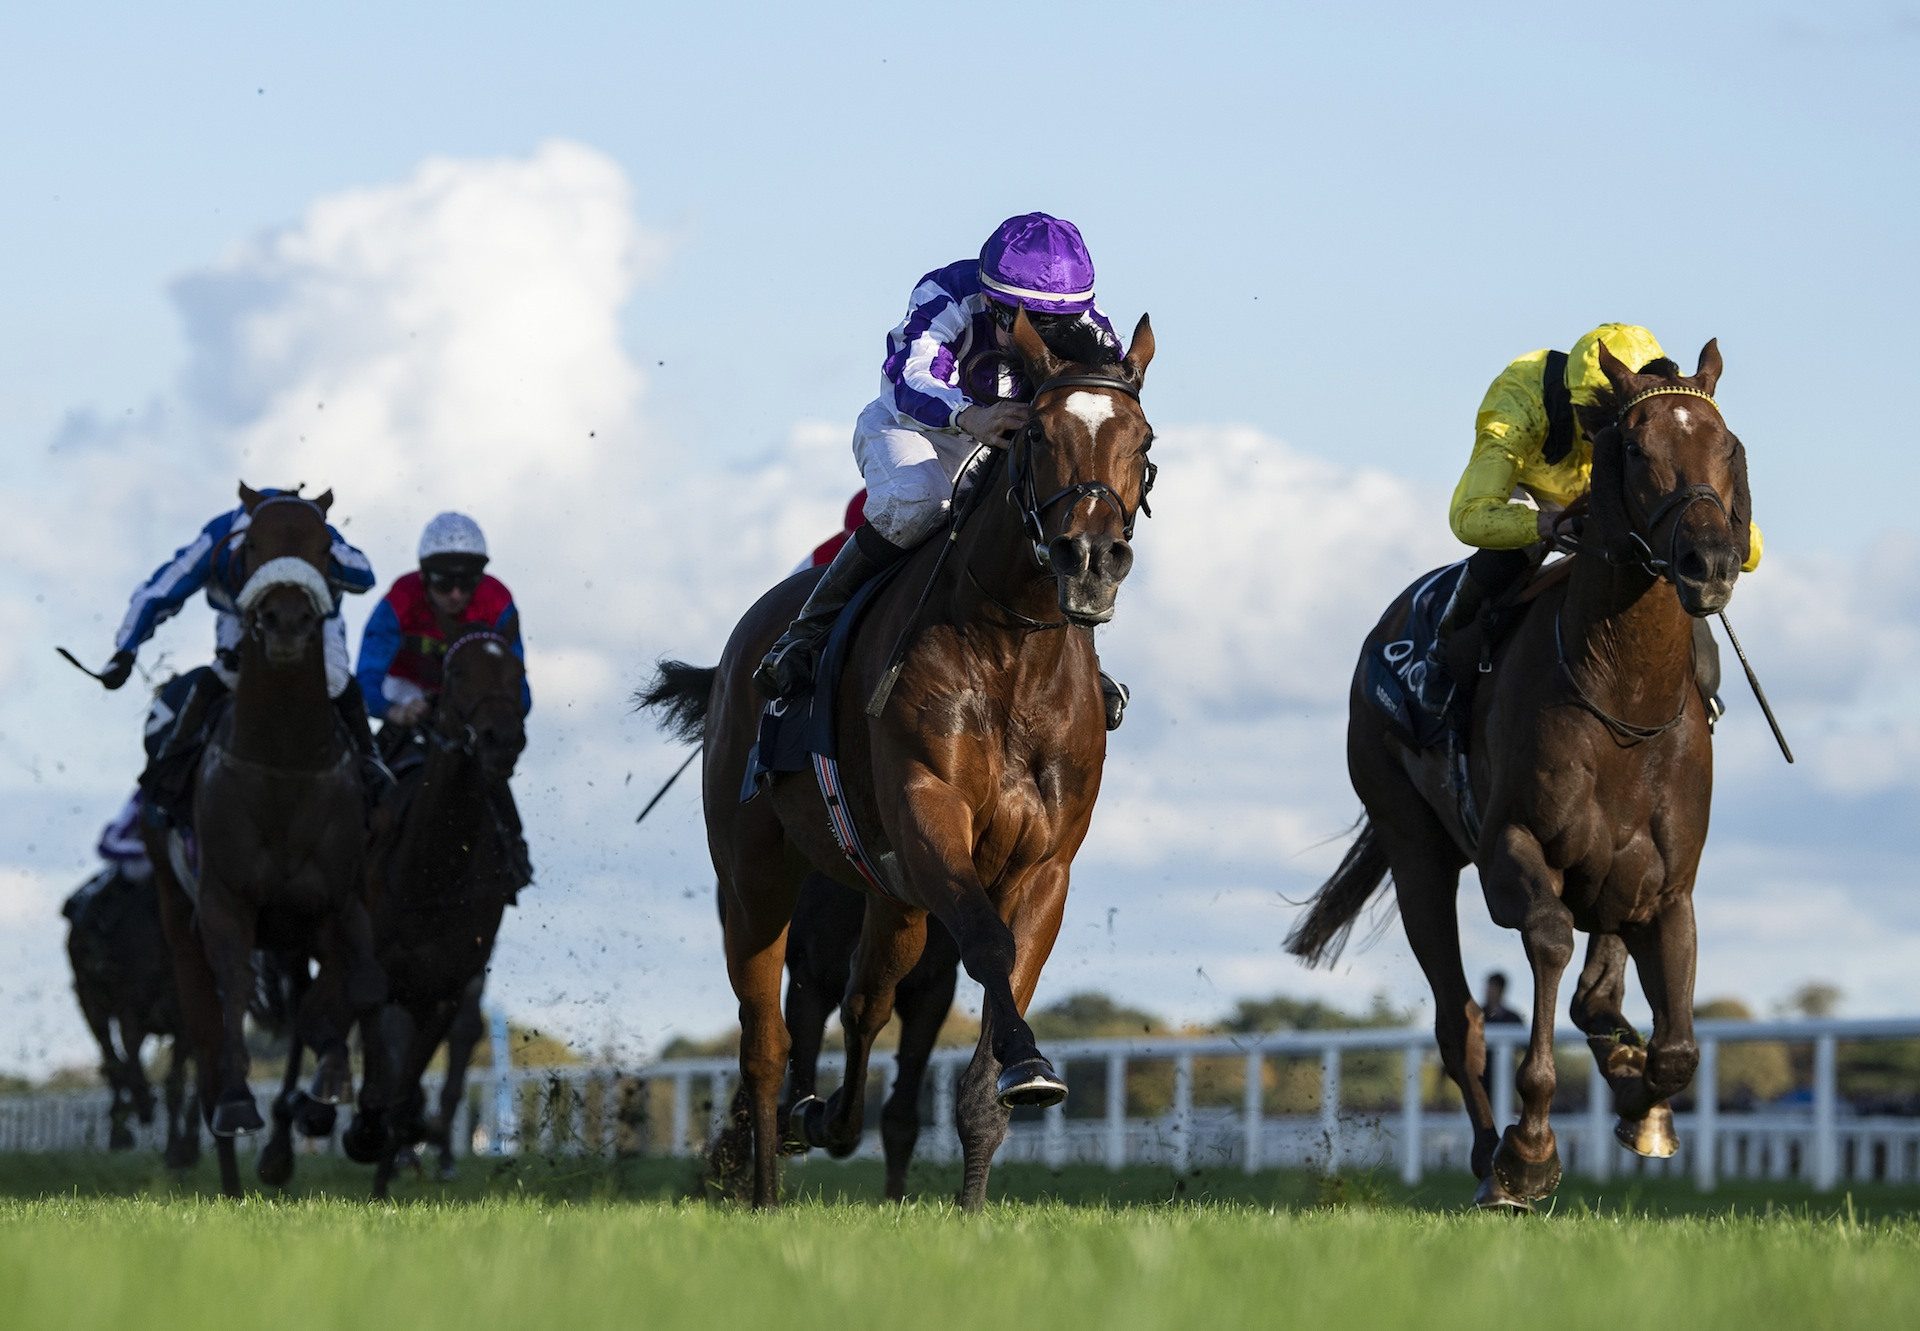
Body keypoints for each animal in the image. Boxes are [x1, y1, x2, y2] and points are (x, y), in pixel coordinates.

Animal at [146, 485, 385, 1190]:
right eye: (250, 546)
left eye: (324, 546)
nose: (285, 623)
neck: (283, 762)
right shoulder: (226, 900)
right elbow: (232, 992)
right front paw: (240, 1104)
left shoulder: (338, 899)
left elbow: (353, 986)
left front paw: (335, 1088)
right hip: (177, 914)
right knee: (202, 1031)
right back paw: (229, 1173)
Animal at [349, 622, 529, 1190]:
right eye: (457, 673)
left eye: (517, 672)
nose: (501, 739)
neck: (432, 868)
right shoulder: (378, 973)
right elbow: (380, 1075)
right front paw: (367, 1132)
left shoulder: (449, 985)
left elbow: (407, 1084)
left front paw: (396, 1155)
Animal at [645, 309, 1152, 1206]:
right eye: (1036, 435)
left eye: (1144, 440)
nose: (1092, 560)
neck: (1013, 657)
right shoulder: (928, 815)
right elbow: (988, 947)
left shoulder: (1044, 862)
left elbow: (988, 1013)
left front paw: (983, 1171)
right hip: (754, 877)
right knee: (766, 1042)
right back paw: (768, 1178)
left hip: (890, 895)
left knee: (866, 997)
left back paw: (825, 1118)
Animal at [1290, 339, 1758, 1206]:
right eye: (1635, 447)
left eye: (1729, 447)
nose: (1708, 561)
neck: (1621, 698)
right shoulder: (1512, 851)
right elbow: (1545, 942)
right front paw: (1529, 1150)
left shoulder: (1667, 886)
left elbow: (1676, 1047)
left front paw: (1640, 1097)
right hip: (1415, 847)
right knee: (1459, 1019)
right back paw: (1486, 1151)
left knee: (1595, 989)